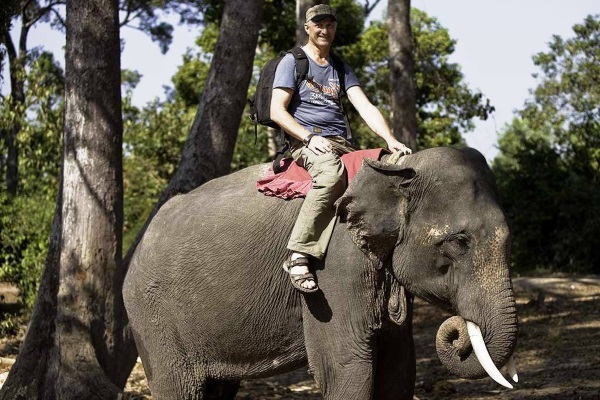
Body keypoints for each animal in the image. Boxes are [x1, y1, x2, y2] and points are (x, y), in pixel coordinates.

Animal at [122, 145, 516, 398]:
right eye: (459, 242)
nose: (457, 331)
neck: (396, 168)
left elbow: (398, 366)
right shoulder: (333, 268)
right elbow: (346, 366)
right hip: (152, 315)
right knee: (180, 388)